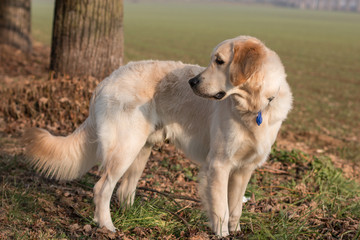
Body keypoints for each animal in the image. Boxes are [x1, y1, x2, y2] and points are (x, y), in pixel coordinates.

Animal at [23, 35, 292, 236]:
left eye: (219, 61)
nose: (192, 82)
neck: (254, 107)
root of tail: (107, 79)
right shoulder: (219, 165)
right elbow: (222, 210)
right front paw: (222, 233)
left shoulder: (244, 169)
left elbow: (235, 209)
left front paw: (235, 232)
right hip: (125, 148)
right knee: (102, 188)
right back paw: (107, 226)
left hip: (141, 150)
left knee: (124, 190)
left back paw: (133, 216)